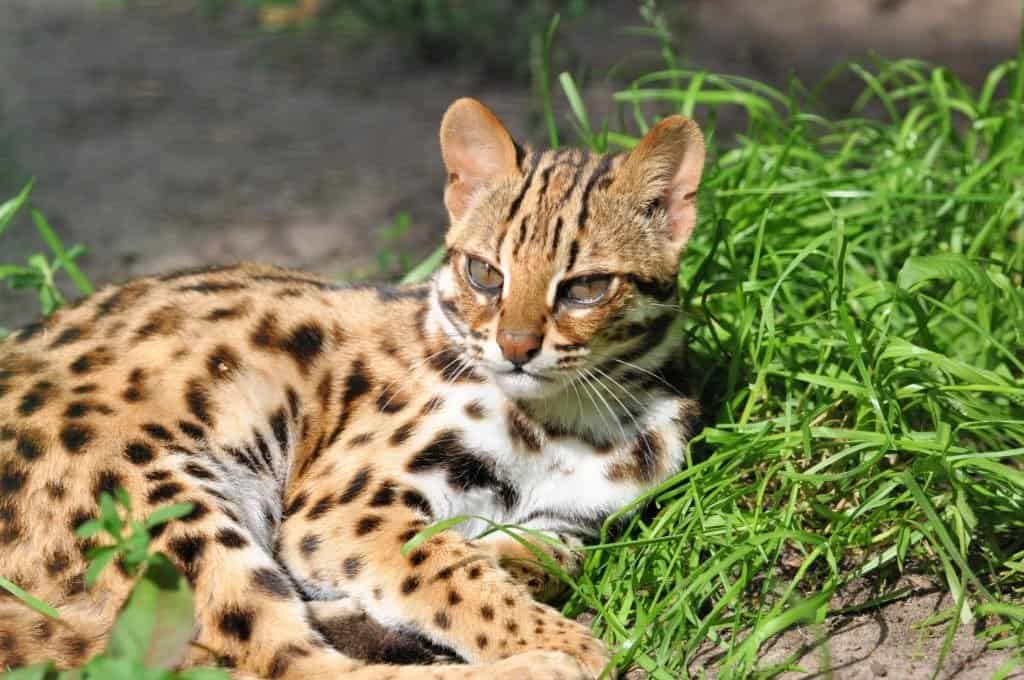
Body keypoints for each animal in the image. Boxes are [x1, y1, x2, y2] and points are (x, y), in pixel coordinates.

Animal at [0, 96, 704, 680]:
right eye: (484, 274)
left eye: (586, 287)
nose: (516, 348)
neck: (569, 421)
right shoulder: (343, 509)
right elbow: (453, 575)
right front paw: (568, 643)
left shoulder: (566, 522)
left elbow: (537, 558)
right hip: (161, 497)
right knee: (285, 664)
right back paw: (543, 664)